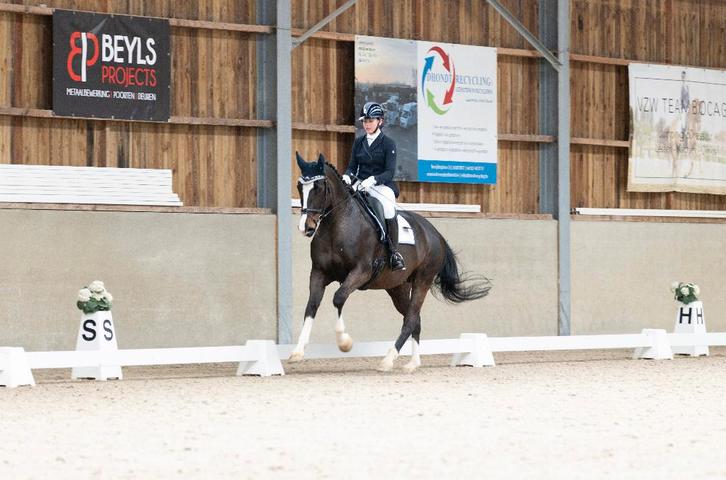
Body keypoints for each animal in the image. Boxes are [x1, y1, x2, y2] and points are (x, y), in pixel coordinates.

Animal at [291, 152, 491, 372]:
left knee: (411, 319)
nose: (306, 227)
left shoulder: (361, 271)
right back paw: (413, 363)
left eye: (319, 186)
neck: (338, 225)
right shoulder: (319, 272)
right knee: (414, 319)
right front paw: (297, 352)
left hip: (422, 281)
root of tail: (436, 234)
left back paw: (388, 360)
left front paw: (344, 343)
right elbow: (312, 306)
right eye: (300, 186)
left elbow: (338, 297)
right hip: (398, 287)